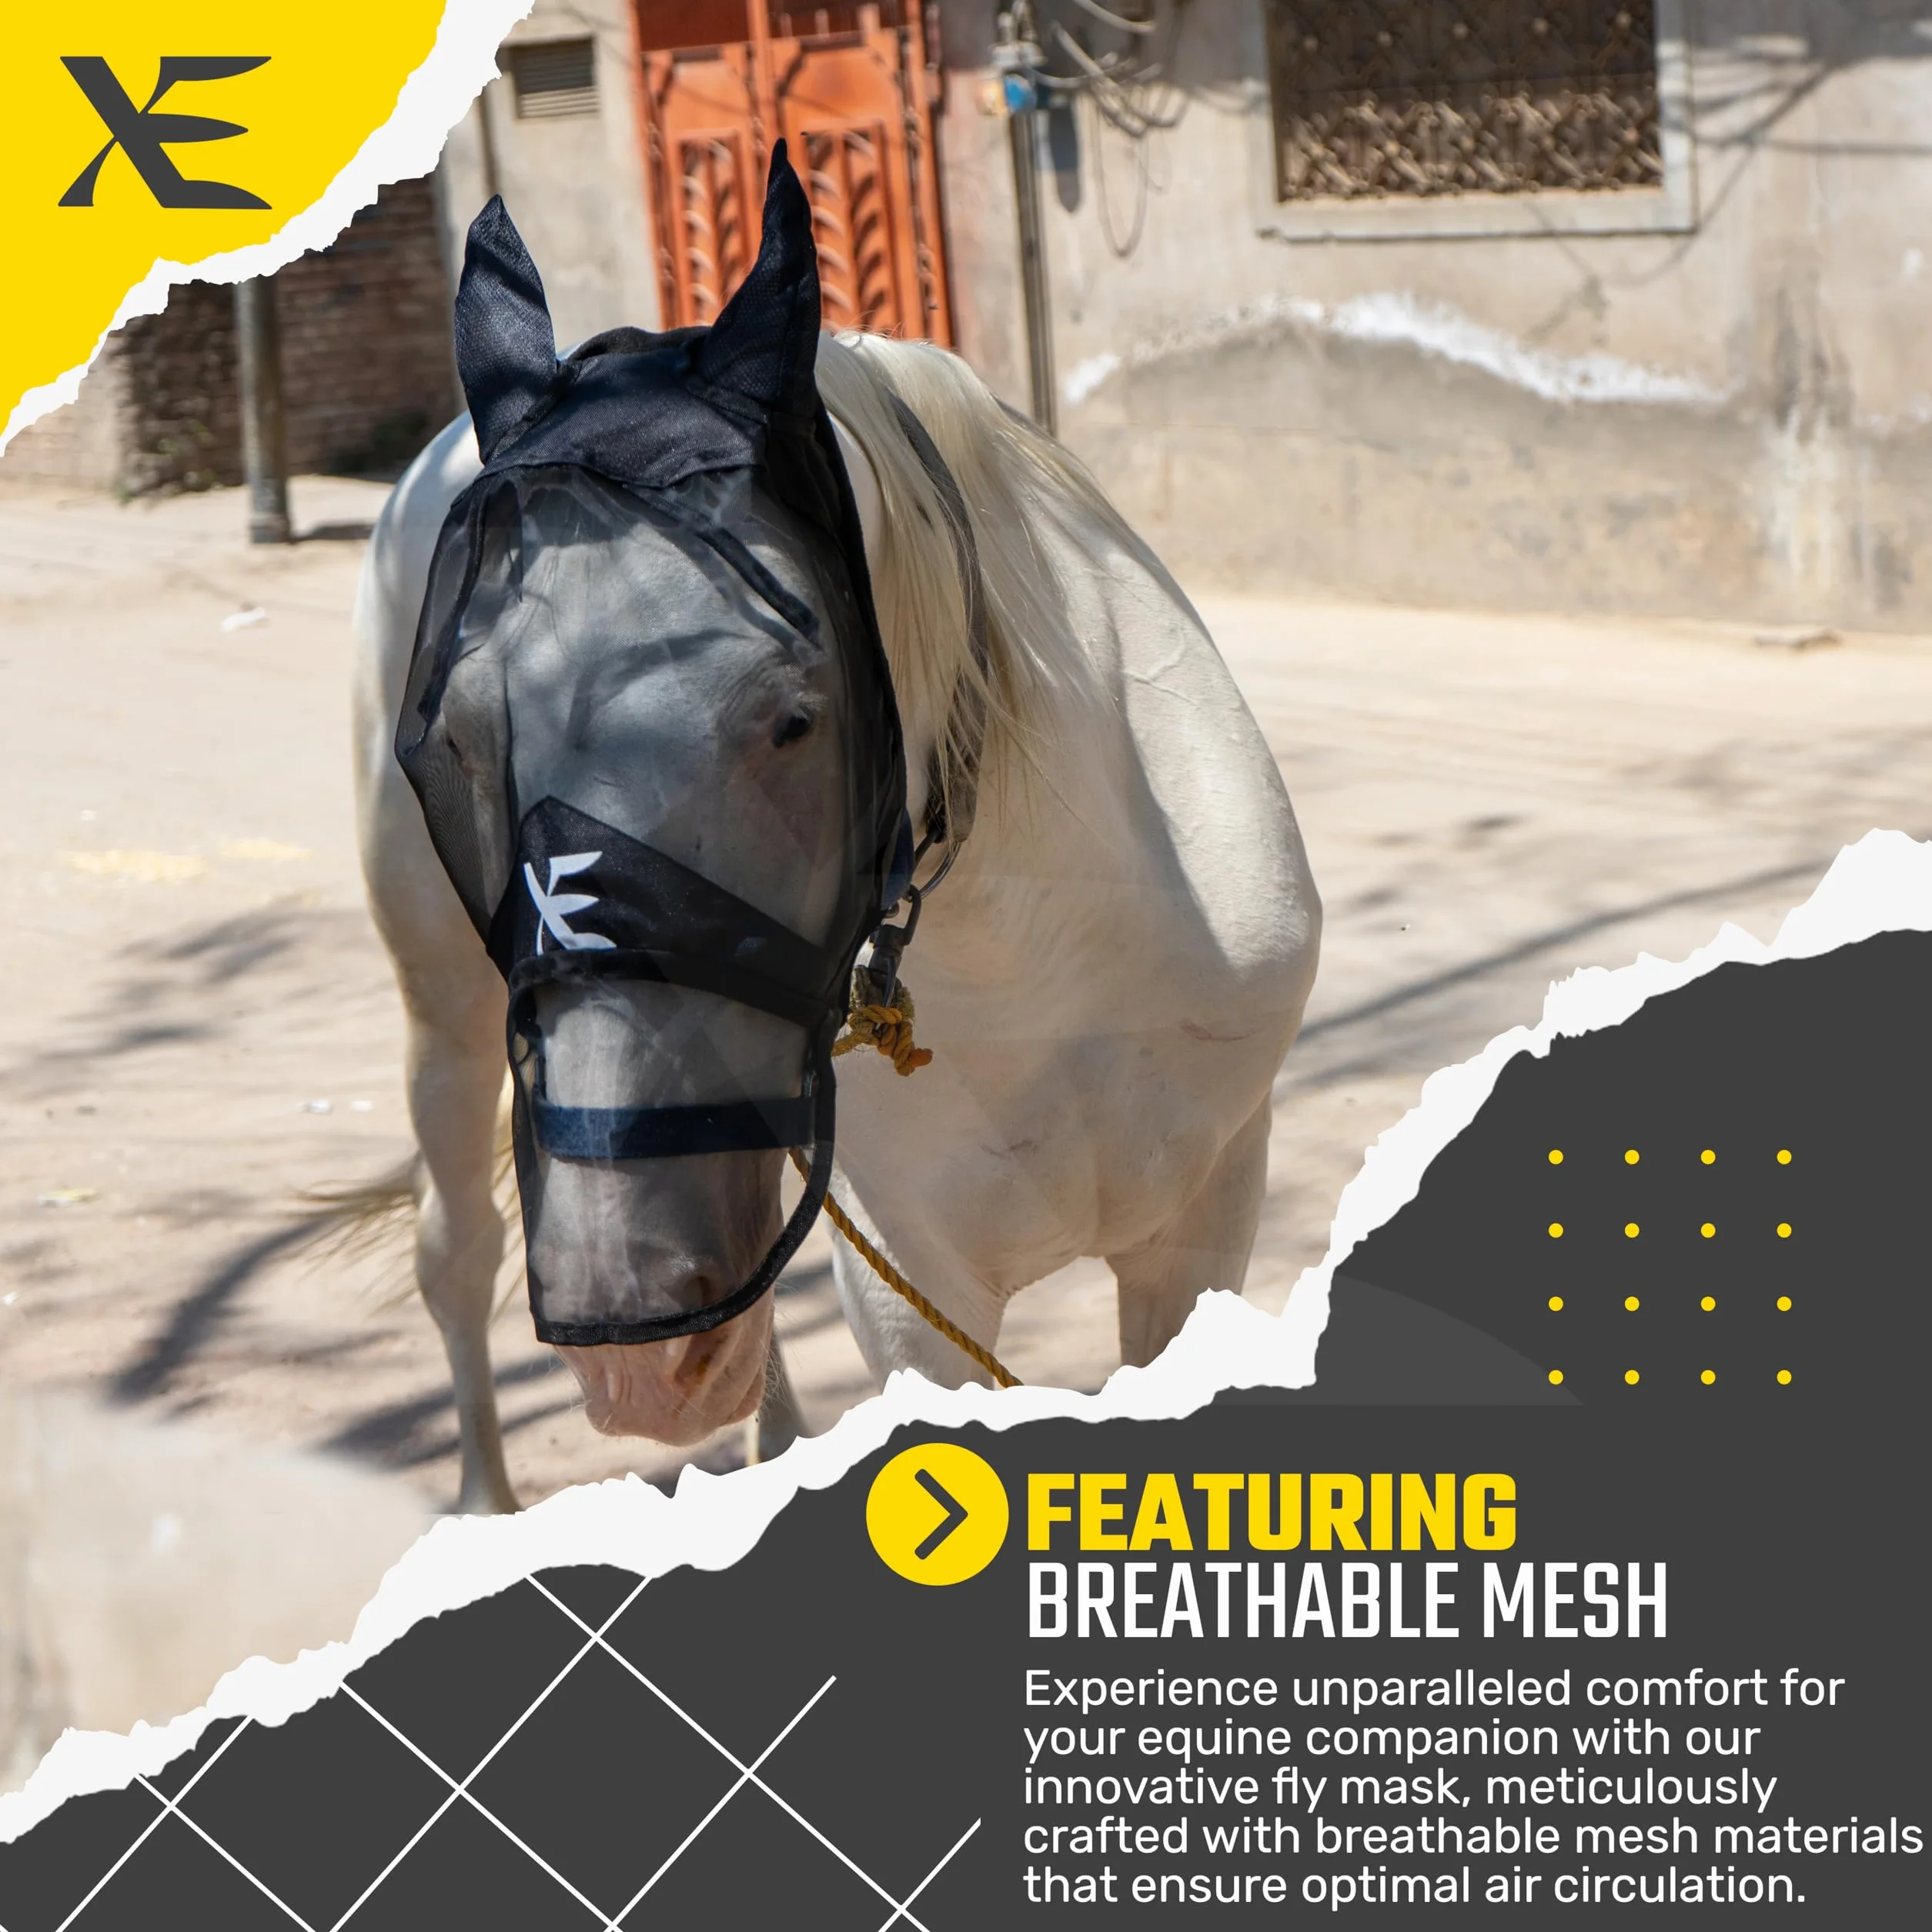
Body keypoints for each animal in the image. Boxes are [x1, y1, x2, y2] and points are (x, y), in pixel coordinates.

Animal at [350, 160, 1319, 1513]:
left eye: (794, 719)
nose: (632, 1350)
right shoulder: (914, 1292)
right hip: (446, 1017)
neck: (1049, 949)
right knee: (457, 1249)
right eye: (446, 744)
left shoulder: (1204, 1223)